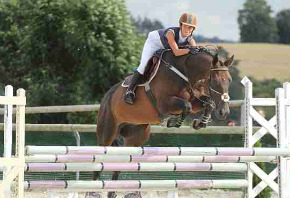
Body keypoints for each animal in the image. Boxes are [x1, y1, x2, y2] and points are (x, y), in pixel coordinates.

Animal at [92, 48, 234, 198]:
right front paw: (173, 121)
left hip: (135, 137)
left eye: (229, 81)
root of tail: (107, 96)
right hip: (107, 132)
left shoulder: (196, 100)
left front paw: (200, 123)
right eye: (216, 82)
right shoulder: (164, 104)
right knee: (99, 160)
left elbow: (208, 103)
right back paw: (94, 191)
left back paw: (114, 191)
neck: (186, 73)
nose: (224, 112)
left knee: (122, 162)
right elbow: (187, 105)